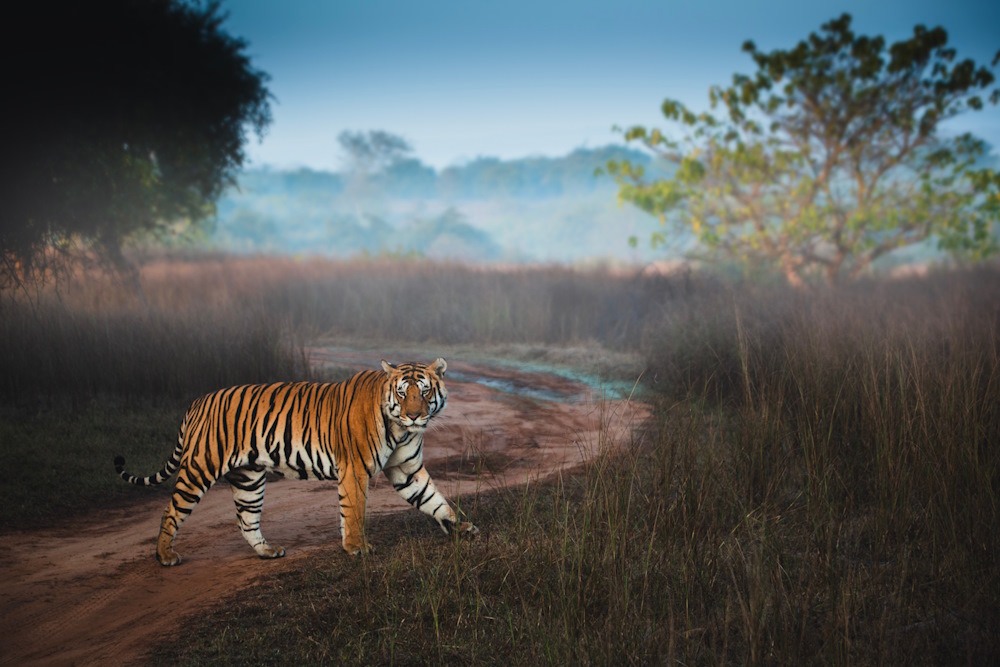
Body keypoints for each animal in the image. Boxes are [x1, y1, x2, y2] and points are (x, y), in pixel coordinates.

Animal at [114, 358, 477, 566]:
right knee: (171, 511)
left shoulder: (406, 470)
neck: (400, 430)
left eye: (425, 392)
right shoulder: (355, 469)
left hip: (248, 478)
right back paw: (164, 555)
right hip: (199, 468)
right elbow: (354, 511)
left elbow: (434, 500)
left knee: (246, 519)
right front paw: (357, 548)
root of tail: (198, 401)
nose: (414, 415)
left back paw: (267, 551)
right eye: (402, 393)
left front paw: (462, 527)